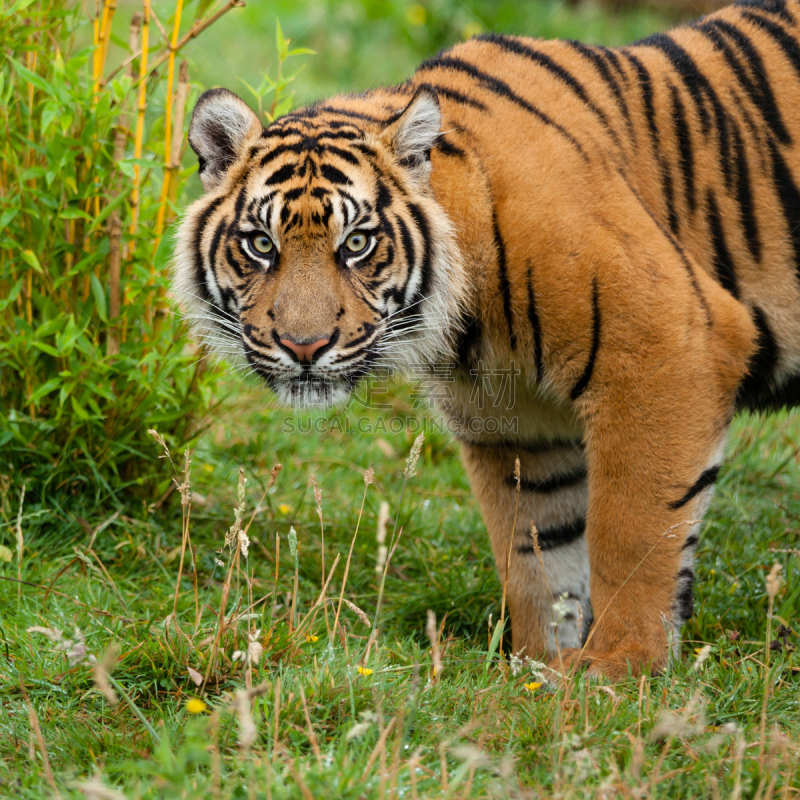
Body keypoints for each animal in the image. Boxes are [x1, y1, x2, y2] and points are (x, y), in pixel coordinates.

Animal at [173, 0, 800, 680]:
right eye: (262, 244)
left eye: (358, 243)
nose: (304, 346)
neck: (467, 322)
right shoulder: (516, 425)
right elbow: (535, 554)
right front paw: (536, 667)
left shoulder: (666, 343)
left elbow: (631, 531)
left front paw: (615, 668)